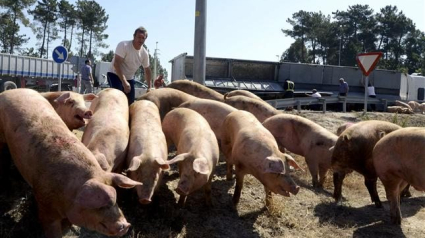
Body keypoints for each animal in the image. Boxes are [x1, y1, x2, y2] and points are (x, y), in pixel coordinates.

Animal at [0, 88, 142, 237]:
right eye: (100, 206)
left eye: (116, 202)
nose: (126, 225)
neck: (70, 192)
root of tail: (13, 90)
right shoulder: (44, 203)